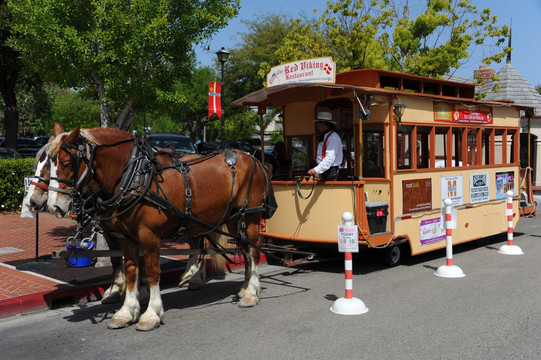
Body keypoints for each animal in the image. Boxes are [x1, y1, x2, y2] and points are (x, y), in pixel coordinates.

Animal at [46, 125, 270, 330]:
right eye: (49, 163)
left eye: (67, 163)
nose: (53, 206)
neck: (136, 177)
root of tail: (253, 158)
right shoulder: (127, 238)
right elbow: (131, 272)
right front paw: (126, 312)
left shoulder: (149, 236)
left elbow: (153, 272)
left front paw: (151, 314)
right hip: (234, 219)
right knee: (246, 251)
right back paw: (246, 288)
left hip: (250, 216)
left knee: (253, 251)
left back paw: (251, 293)